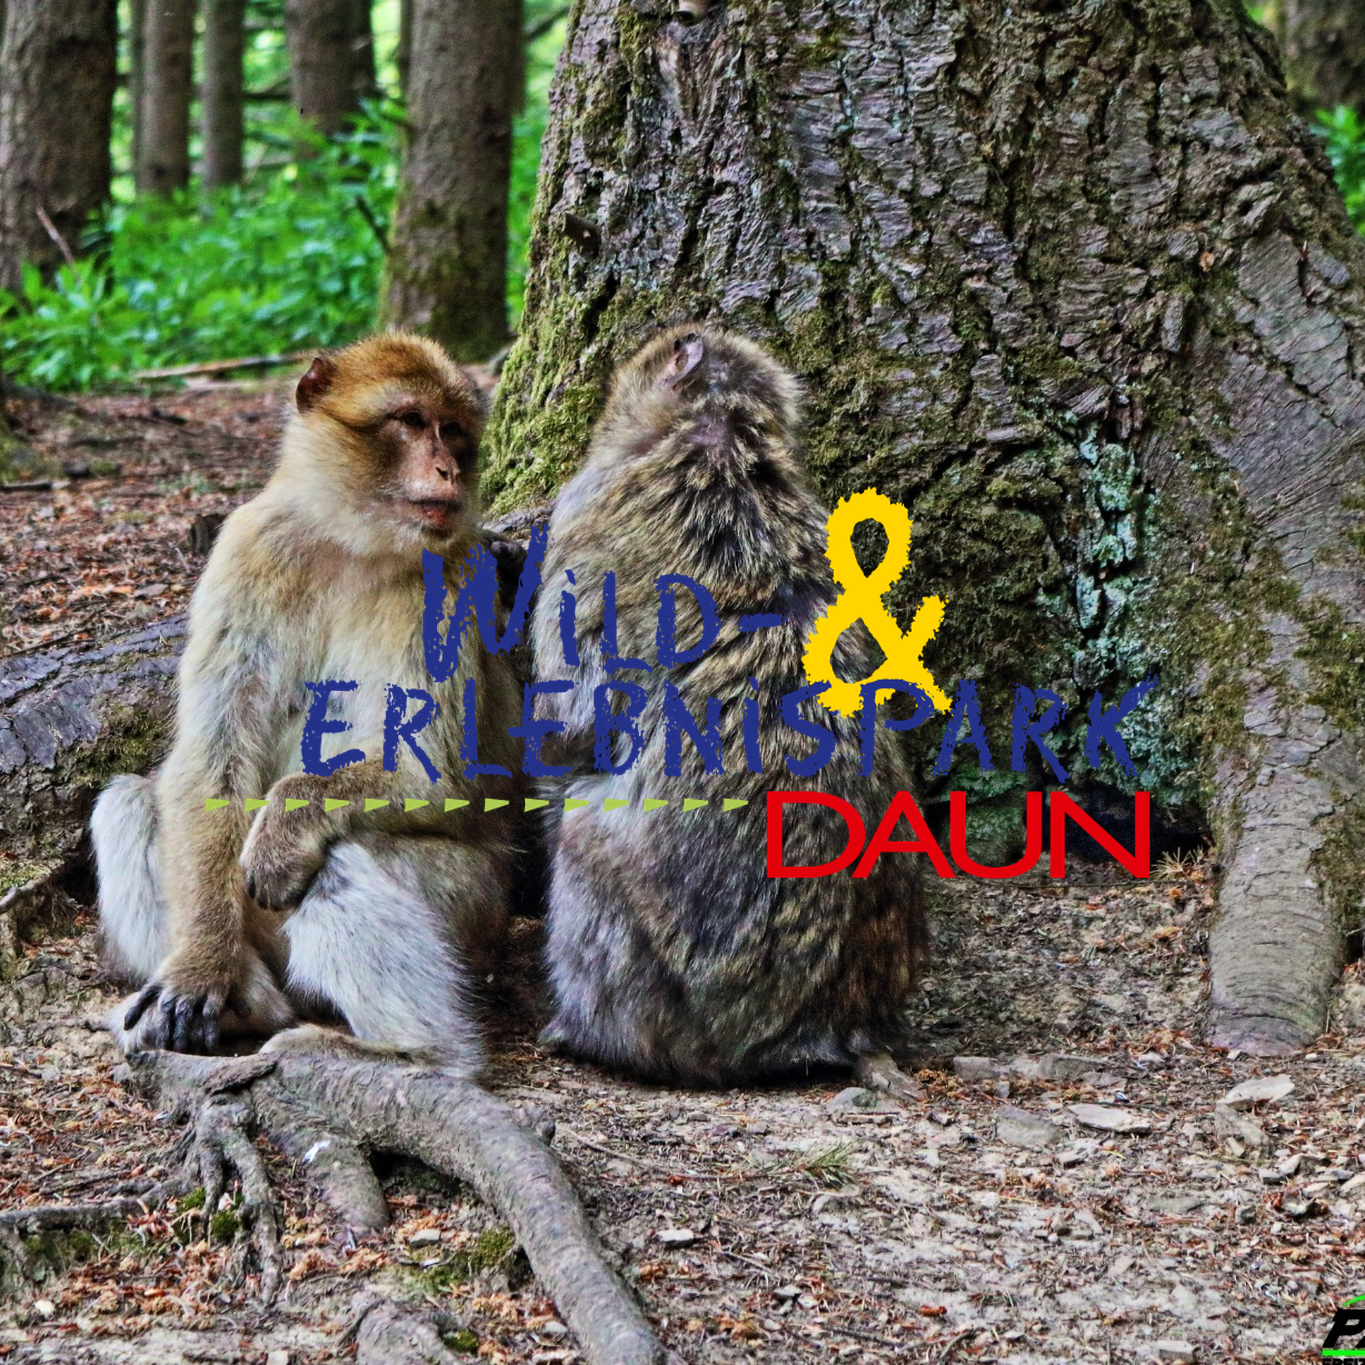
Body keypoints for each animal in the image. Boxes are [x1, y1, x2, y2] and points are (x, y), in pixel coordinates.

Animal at [91, 332, 520, 1072]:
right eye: (411, 420)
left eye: (455, 431)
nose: (446, 468)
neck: (352, 539)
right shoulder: (248, 547)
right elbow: (212, 756)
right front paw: (200, 967)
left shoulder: (452, 575)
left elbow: (432, 771)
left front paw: (288, 817)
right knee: (129, 802)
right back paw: (245, 1002)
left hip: (478, 906)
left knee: (343, 853)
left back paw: (416, 1052)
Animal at [529, 324, 928, 1086]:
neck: (722, 438)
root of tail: (833, 1024)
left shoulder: (582, 519)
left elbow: (575, 710)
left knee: (585, 837)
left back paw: (590, 1034)